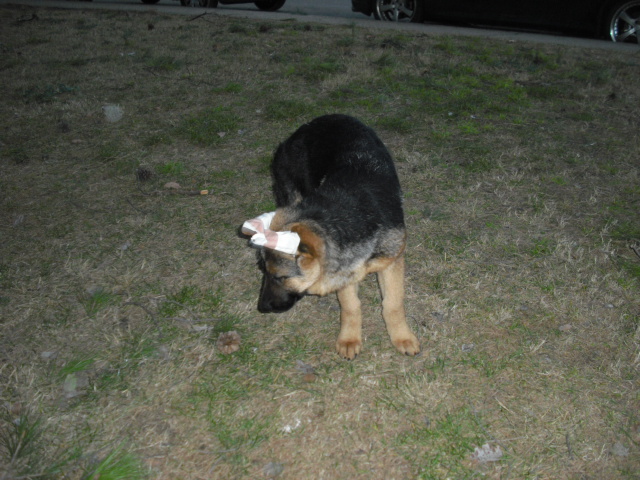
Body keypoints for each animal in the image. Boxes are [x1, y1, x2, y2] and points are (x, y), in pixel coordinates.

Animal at [240, 113, 420, 360]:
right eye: (262, 271)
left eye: (281, 277)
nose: (263, 308)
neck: (351, 215)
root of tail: (308, 125)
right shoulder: (343, 272)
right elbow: (351, 306)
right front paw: (349, 339)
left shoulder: (391, 262)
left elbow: (393, 303)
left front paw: (402, 337)